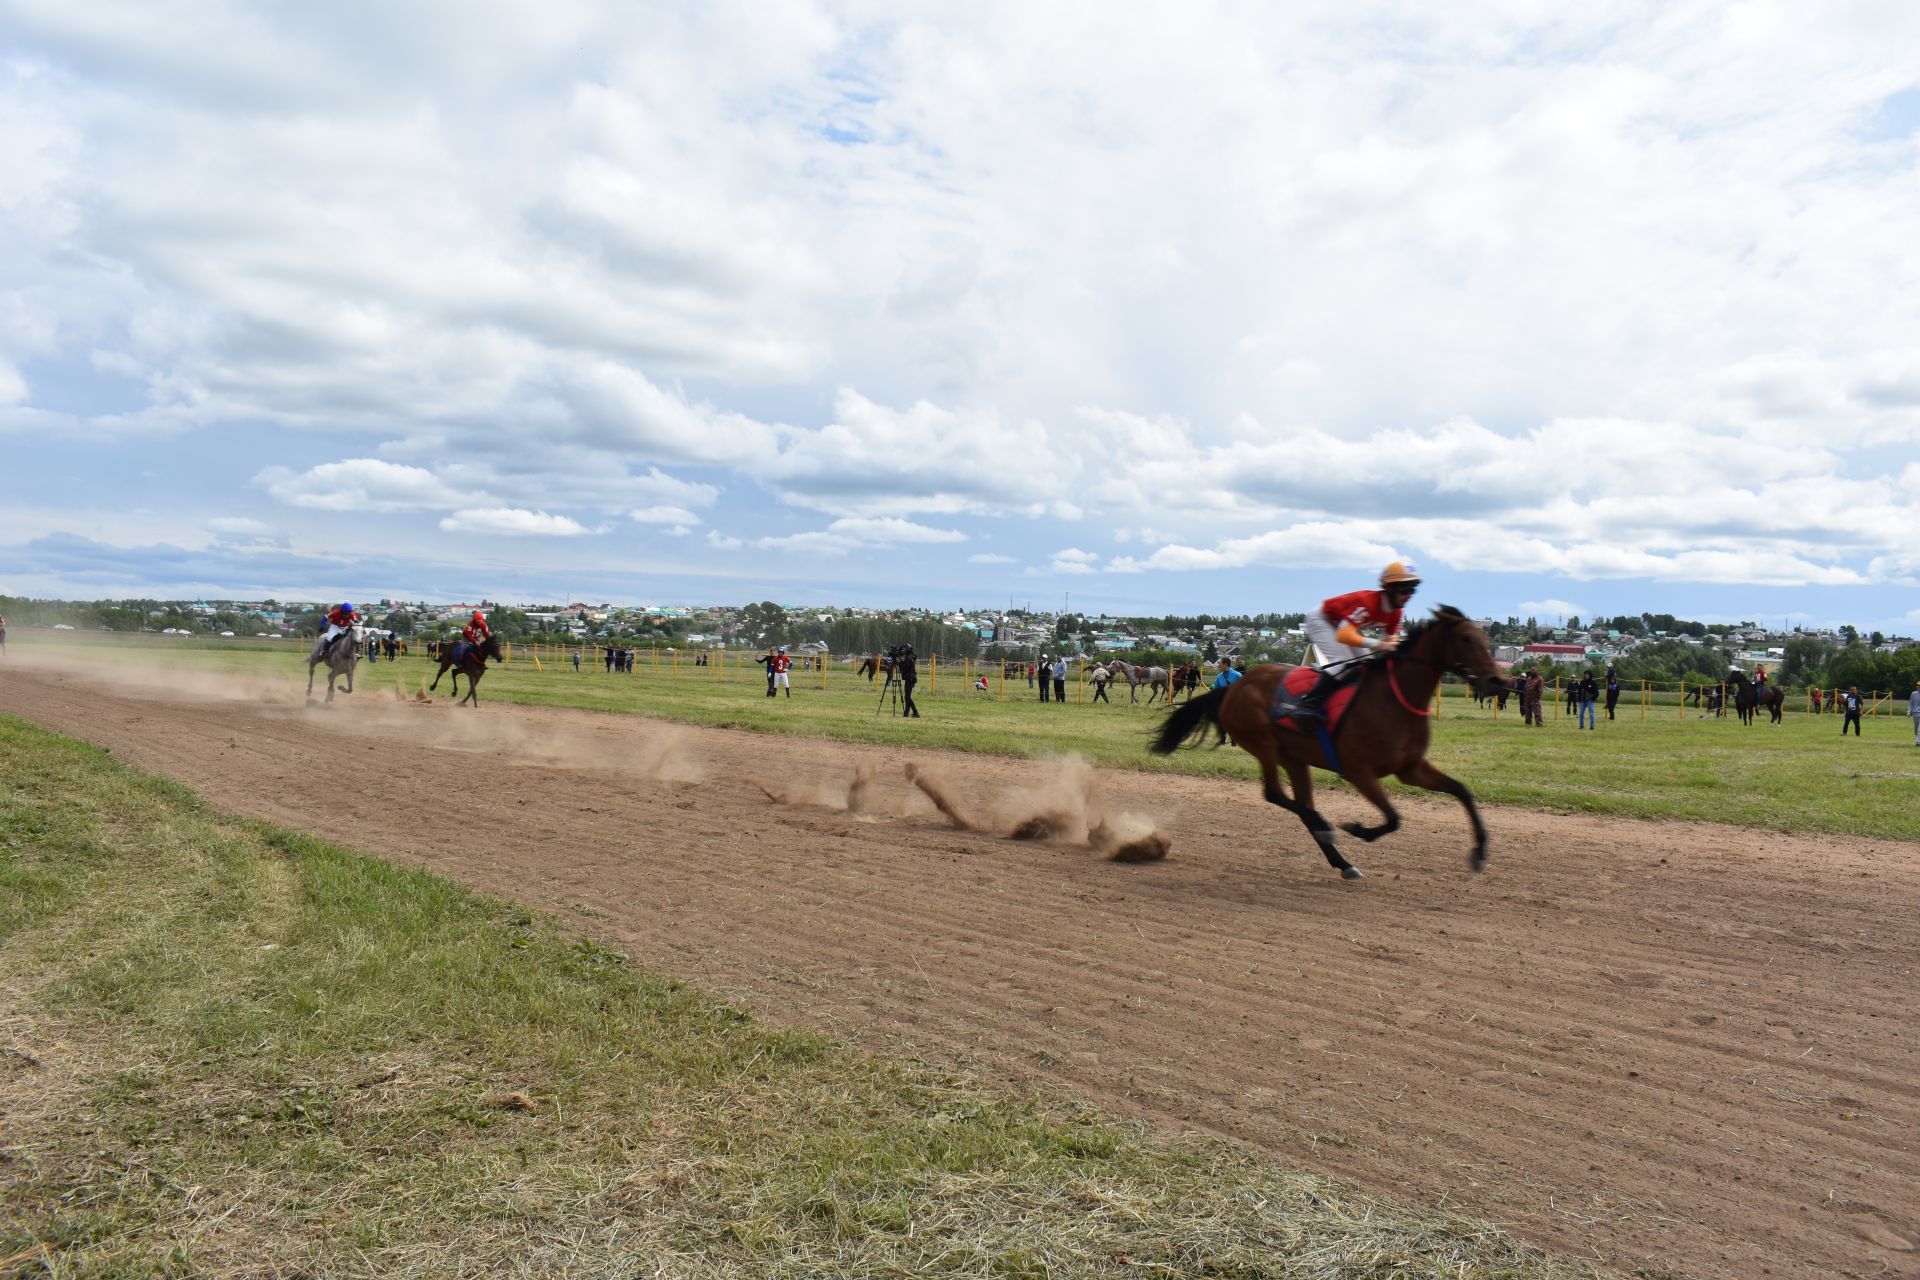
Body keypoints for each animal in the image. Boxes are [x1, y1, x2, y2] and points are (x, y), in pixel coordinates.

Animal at [1152, 610, 1497, 882]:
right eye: (1466, 639)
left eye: (1485, 638)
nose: (1496, 679)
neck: (1394, 699)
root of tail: (1233, 687)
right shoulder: (1359, 771)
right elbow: (1393, 818)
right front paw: (1358, 829)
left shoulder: (1411, 768)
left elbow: (1461, 791)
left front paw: (1479, 852)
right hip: (1263, 744)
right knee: (1276, 795)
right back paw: (1325, 827)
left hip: (1294, 758)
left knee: (1300, 804)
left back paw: (1342, 861)